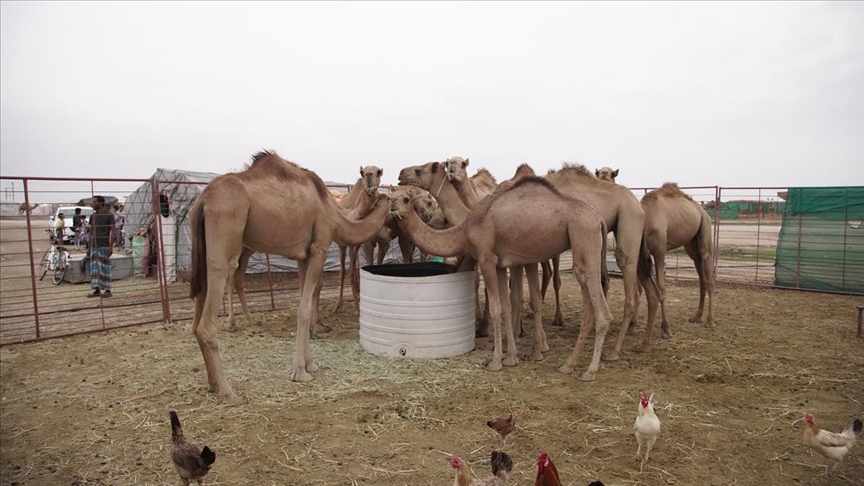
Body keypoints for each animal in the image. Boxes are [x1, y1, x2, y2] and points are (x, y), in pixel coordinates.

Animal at [192, 151, 392, 402]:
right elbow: (304, 311)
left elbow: (305, 304)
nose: (389, 233)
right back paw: (229, 392)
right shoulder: (319, 248)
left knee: (196, 321)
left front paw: (310, 364)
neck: (335, 213)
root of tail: (203, 201)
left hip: (202, 250)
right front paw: (300, 372)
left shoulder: (303, 256)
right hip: (225, 235)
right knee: (210, 316)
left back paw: (213, 385)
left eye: (378, 172)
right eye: (397, 202)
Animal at [388, 178, 612, 380]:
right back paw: (568, 365)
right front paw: (511, 358)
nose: (393, 207)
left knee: (601, 311)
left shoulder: (487, 259)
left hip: (584, 235)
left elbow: (496, 309)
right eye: (390, 197)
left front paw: (496, 362)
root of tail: (599, 219)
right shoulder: (500, 265)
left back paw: (590, 371)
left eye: (406, 199)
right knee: (588, 301)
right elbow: (506, 306)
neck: (465, 229)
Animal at [544, 163, 660, 356]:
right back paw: (644, 345)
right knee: (650, 288)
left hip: (629, 220)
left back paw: (614, 351)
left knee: (630, 289)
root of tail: (639, 206)